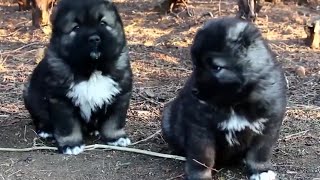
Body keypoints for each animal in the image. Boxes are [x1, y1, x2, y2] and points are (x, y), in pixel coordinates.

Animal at [23, 0, 132, 155]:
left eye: (102, 23)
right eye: (76, 27)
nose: (94, 39)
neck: (92, 69)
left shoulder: (120, 95)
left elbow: (115, 121)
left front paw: (116, 138)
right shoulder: (61, 100)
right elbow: (67, 125)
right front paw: (71, 144)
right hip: (30, 95)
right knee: (39, 117)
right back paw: (46, 131)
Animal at [162, 16, 288, 179]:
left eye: (216, 67)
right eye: (195, 65)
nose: (194, 91)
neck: (235, 101)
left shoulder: (268, 124)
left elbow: (260, 152)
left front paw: (261, 170)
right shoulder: (201, 128)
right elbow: (203, 157)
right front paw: (200, 175)